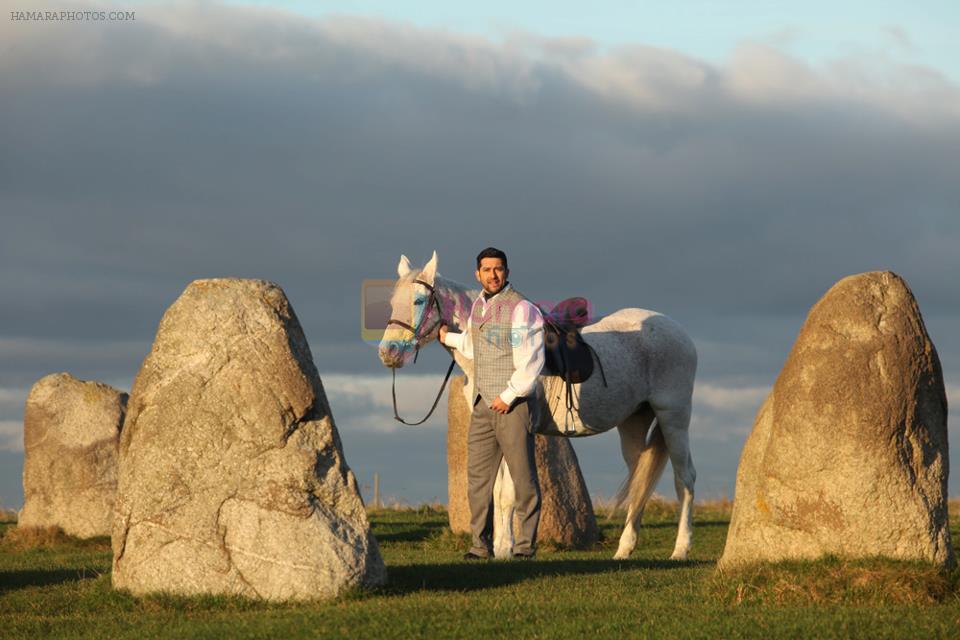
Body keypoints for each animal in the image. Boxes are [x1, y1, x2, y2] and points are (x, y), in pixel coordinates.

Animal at [376, 250, 696, 560]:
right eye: (391, 302)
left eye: (418, 300)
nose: (388, 353)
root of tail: (679, 332)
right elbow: (495, 491)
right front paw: (495, 547)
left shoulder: (515, 431)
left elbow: (507, 493)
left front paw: (505, 548)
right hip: (633, 423)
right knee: (638, 481)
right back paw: (624, 549)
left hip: (674, 419)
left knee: (685, 479)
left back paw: (680, 549)